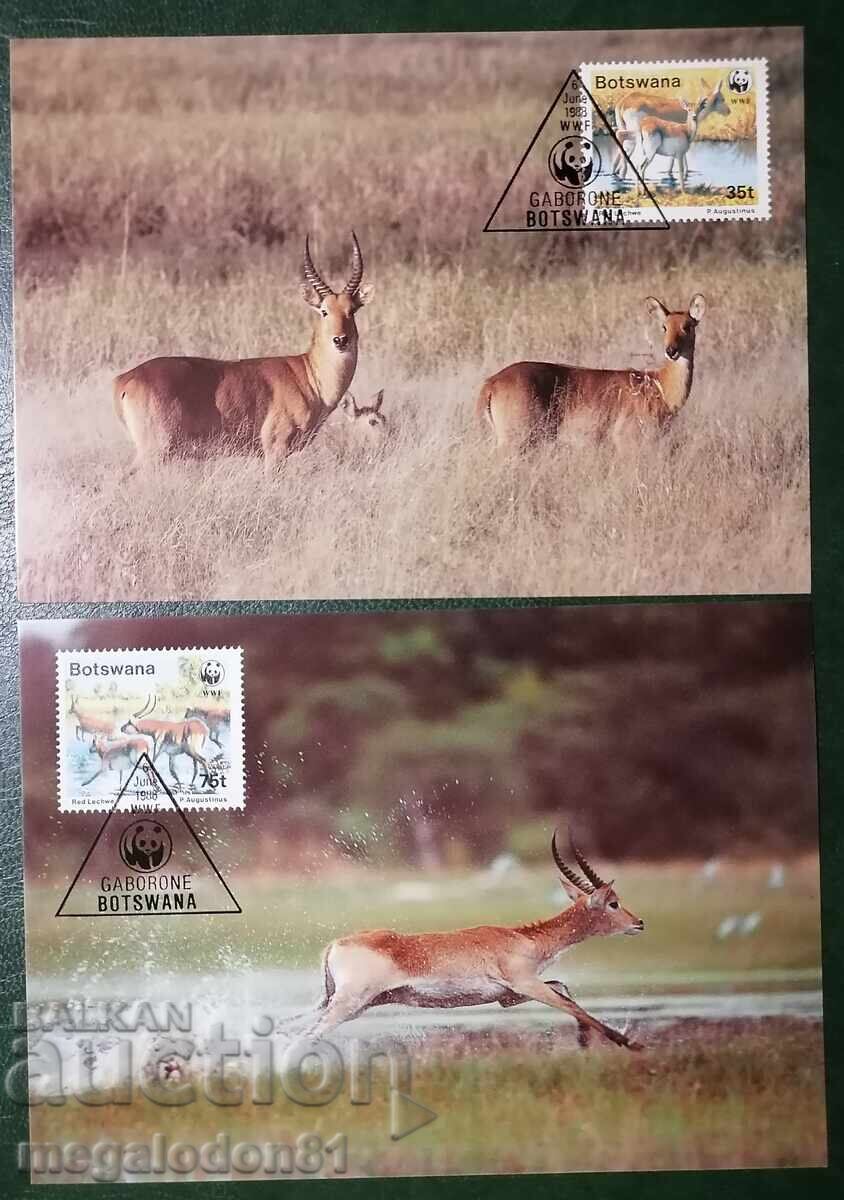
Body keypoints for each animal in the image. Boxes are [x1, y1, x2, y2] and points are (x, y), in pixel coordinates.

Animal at [114, 234, 372, 476]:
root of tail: (125, 379)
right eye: (324, 311)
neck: (307, 375)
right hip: (154, 452)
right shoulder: (275, 451)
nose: (340, 340)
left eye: (352, 310)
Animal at [283, 832, 644, 1051]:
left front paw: (585, 1041)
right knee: (303, 1038)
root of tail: (336, 944)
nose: (639, 923)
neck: (524, 939)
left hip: (348, 1003)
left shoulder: (508, 996)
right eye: (613, 902)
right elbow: (569, 1002)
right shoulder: (525, 983)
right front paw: (630, 1043)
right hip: (348, 1004)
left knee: (292, 1028)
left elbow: (564, 988)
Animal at [478, 293, 706, 451]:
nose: (671, 351)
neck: (661, 387)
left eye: (688, 326)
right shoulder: (626, 440)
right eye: (664, 327)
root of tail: (490, 384)